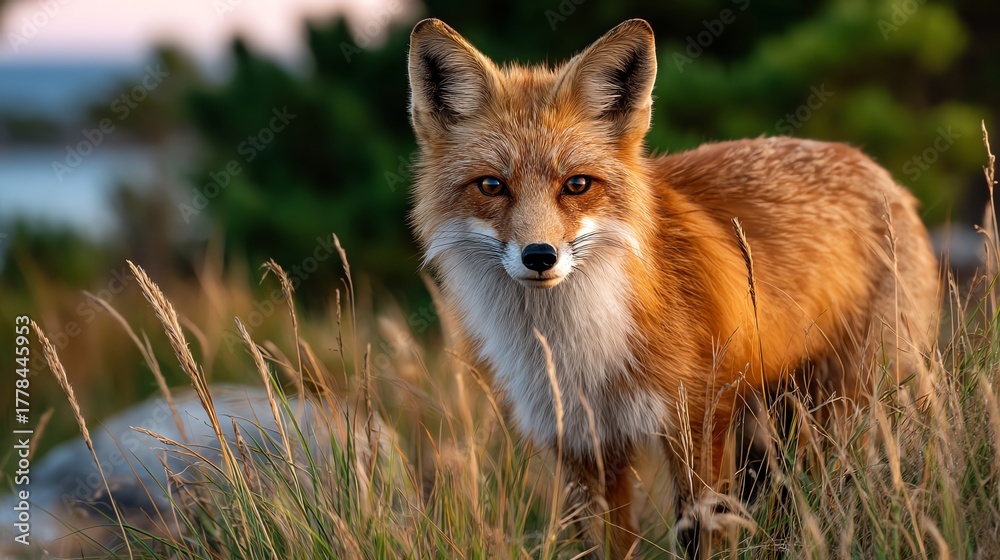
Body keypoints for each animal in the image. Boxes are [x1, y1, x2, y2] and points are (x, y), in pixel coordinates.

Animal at [407, 18, 938, 557]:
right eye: (492, 186)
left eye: (576, 185)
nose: (540, 256)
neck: (582, 350)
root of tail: (871, 165)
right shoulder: (582, 445)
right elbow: (607, 544)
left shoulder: (697, 421)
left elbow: (703, 534)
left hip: (850, 404)